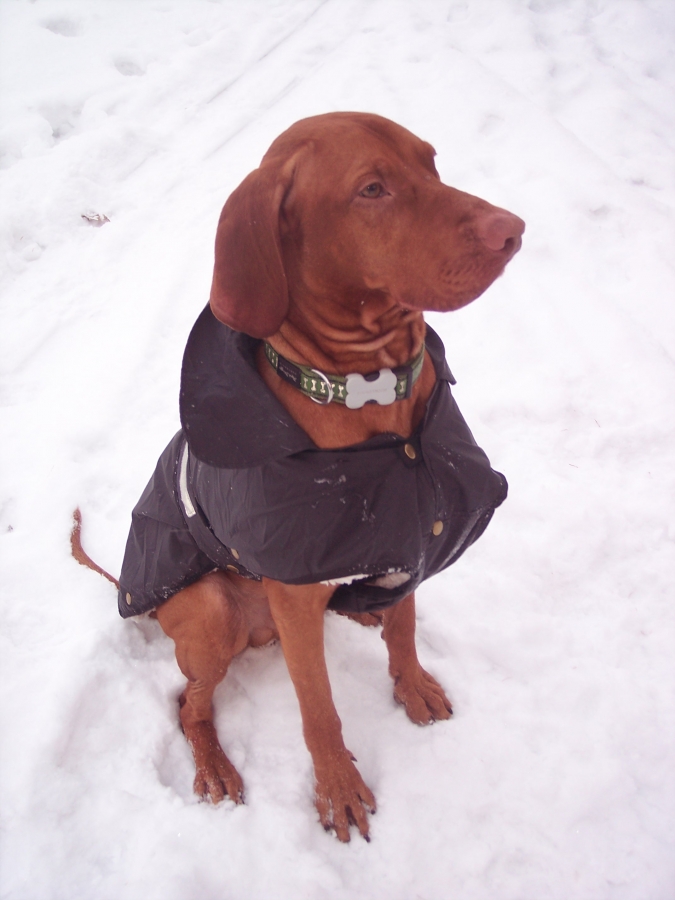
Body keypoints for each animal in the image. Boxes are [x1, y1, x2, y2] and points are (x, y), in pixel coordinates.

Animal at [73, 112, 523, 842]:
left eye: (430, 162)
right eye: (371, 189)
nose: (512, 230)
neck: (370, 393)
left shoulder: (405, 537)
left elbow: (405, 630)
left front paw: (412, 685)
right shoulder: (294, 590)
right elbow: (319, 708)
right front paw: (337, 788)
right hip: (212, 611)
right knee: (188, 704)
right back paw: (215, 765)